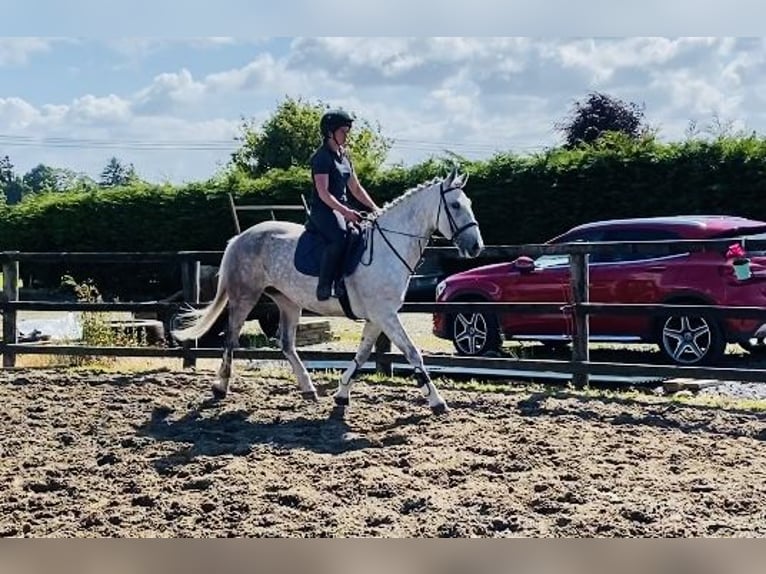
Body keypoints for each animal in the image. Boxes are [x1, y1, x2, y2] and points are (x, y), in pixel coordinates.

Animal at [174, 169, 486, 416]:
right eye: (455, 205)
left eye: (470, 204)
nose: (476, 247)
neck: (389, 246)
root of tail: (241, 236)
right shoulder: (384, 314)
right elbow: (412, 353)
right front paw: (437, 401)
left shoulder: (377, 317)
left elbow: (363, 354)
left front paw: (342, 394)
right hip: (245, 297)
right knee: (230, 338)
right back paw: (220, 387)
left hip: (288, 302)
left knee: (286, 344)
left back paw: (308, 389)